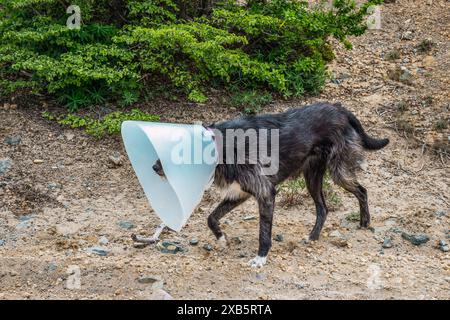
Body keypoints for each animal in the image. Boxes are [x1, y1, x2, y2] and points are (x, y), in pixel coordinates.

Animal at [150, 103, 386, 268]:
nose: (153, 167)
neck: (221, 148)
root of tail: (340, 109)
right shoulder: (239, 193)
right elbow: (211, 217)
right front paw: (221, 238)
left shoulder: (265, 194)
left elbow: (264, 233)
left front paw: (260, 258)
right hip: (312, 178)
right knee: (323, 208)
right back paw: (312, 237)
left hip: (338, 173)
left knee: (362, 191)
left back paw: (364, 222)